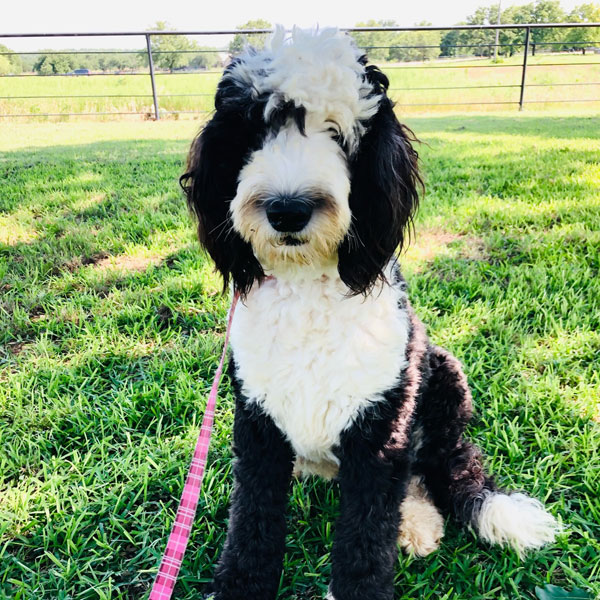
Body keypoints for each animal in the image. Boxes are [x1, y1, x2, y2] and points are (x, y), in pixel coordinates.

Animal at [179, 27, 556, 600]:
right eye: (254, 131)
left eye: (339, 134)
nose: (287, 209)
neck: (308, 288)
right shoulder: (259, 427)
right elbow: (252, 521)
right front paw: (242, 582)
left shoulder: (378, 434)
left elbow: (367, 534)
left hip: (443, 378)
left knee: (444, 466)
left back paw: (425, 519)